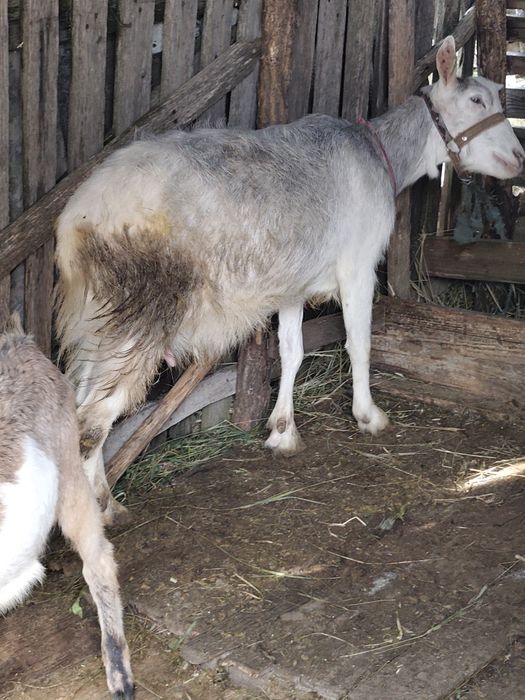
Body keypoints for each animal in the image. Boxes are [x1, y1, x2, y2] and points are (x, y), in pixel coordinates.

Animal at [55, 37, 524, 524]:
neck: (382, 154)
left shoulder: (293, 285)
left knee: (77, 404)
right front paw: (368, 416)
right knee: (93, 419)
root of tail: (77, 219)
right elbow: (359, 342)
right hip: (140, 310)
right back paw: (103, 510)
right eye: (476, 100)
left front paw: (282, 431)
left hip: (96, 317)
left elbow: (291, 352)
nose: (519, 158)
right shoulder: (356, 267)